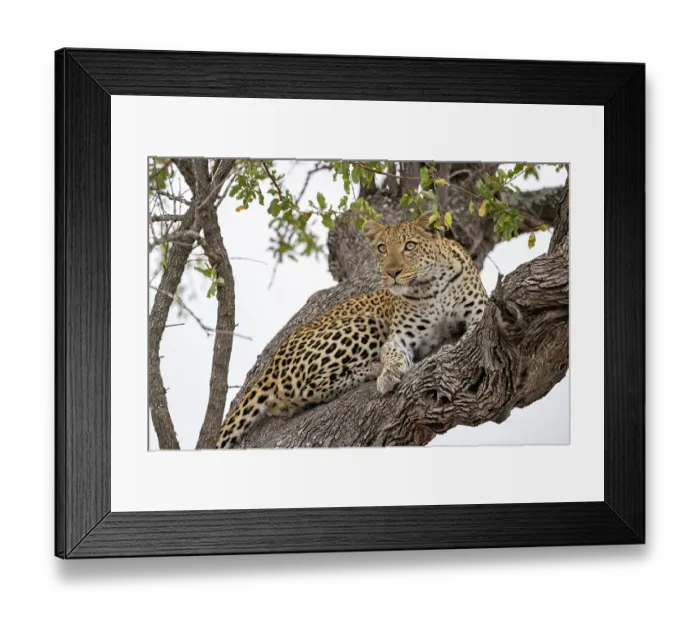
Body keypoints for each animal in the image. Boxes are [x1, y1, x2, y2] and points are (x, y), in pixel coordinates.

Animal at [216, 211, 488, 449]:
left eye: (410, 246)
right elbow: (392, 353)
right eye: (382, 248)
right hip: (366, 323)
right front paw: (388, 373)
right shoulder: (399, 338)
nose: (392, 273)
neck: (431, 286)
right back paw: (373, 369)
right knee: (305, 390)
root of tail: (271, 366)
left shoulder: (480, 314)